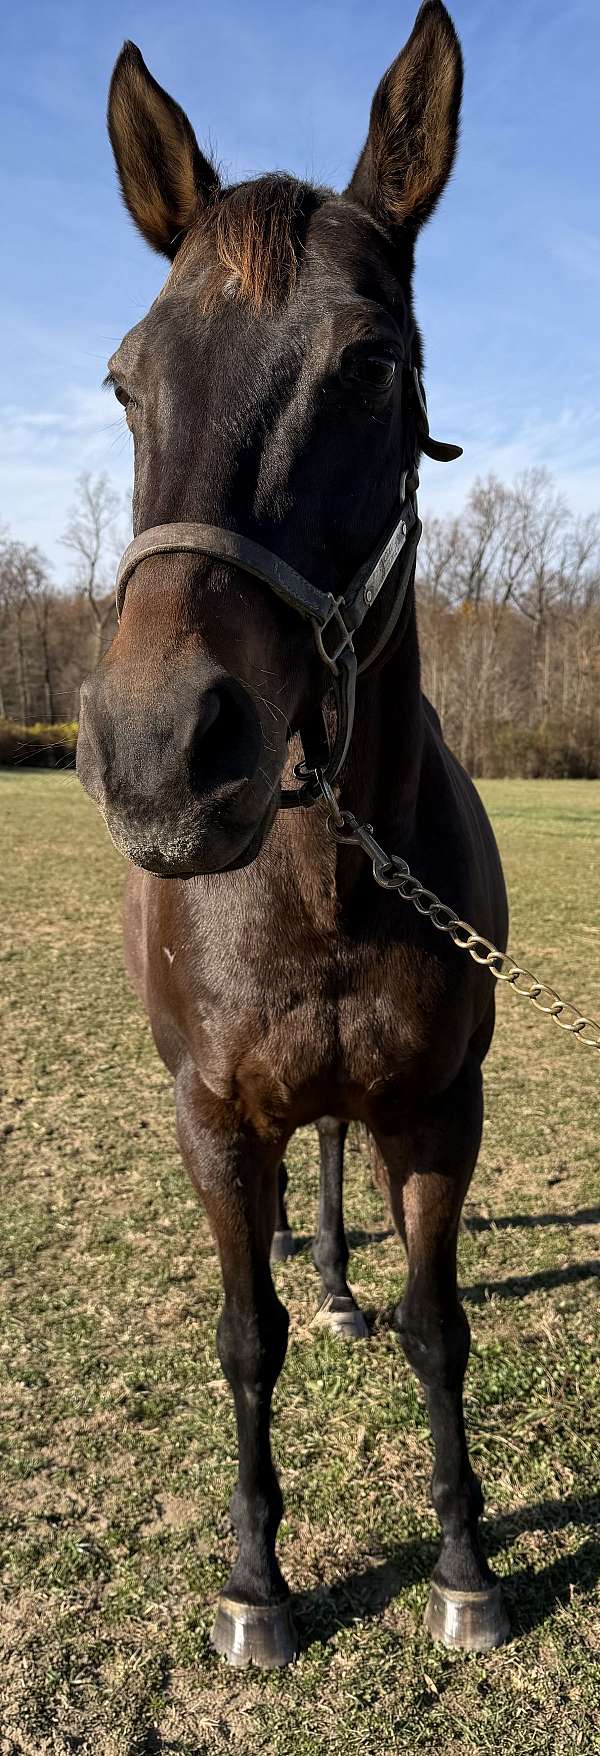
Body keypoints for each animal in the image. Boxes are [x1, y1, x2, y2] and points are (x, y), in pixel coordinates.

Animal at [77, 1, 510, 1667]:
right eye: (128, 379)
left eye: (372, 363)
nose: (157, 754)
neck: (320, 892)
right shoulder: (208, 1114)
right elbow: (242, 1340)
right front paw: (258, 1583)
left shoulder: (440, 1111)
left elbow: (439, 1328)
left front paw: (463, 1564)